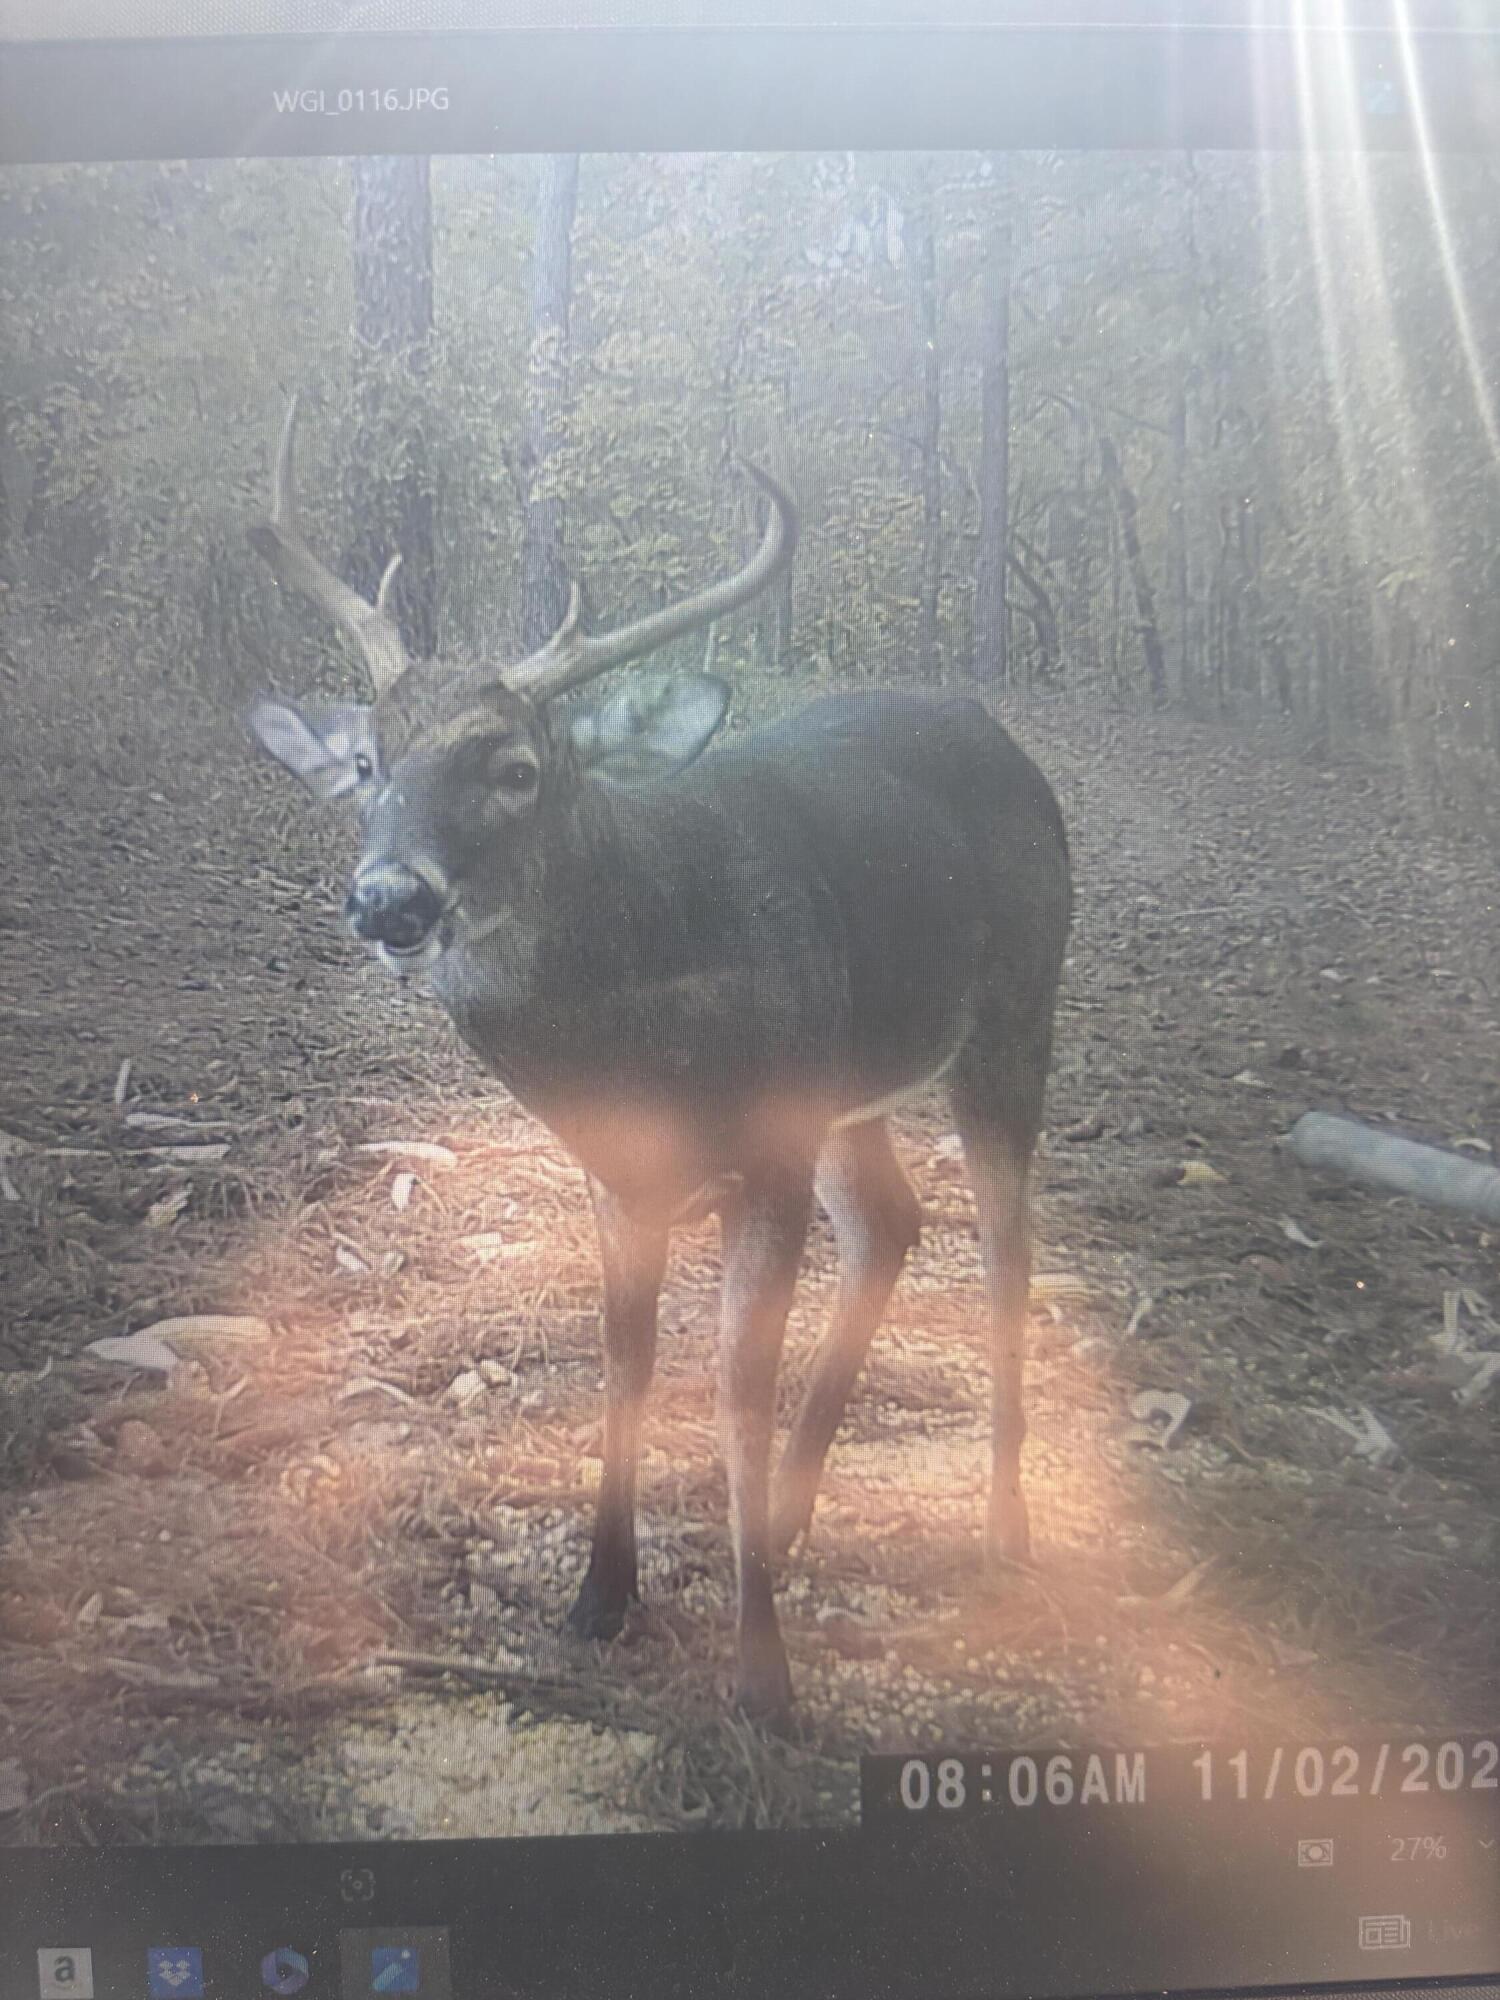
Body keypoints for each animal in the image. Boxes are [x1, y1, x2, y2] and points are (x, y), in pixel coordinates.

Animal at [246, 398, 1071, 1722]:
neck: (638, 1046)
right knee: (892, 1220)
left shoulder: (768, 1157)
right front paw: (601, 1593)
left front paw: (761, 1668)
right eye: (368, 764)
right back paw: (791, 1514)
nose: (388, 898)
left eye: (516, 768)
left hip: (1010, 1017)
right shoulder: (617, 1178)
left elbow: (733, 1379)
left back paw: (1001, 1525)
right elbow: (624, 1363)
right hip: (852, 1087)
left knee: (1003, 1248)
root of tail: (996, 734)